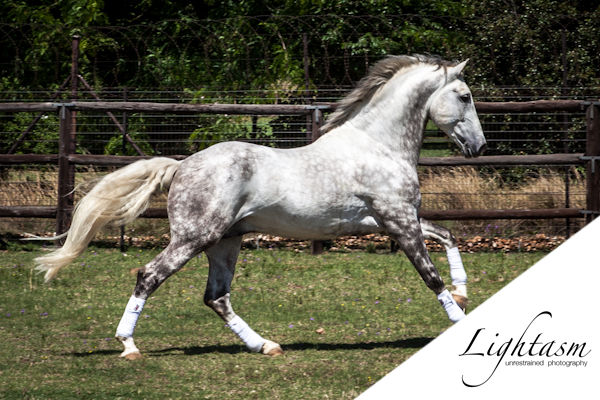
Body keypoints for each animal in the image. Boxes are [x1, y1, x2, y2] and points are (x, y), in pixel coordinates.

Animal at [34, 54, 488, 360]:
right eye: (464, 96)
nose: (479, 147)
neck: (377, 146)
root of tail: (181, 166)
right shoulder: (398, 221)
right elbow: (430, 276)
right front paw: (461, 319)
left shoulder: (394, 221)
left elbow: (449, 236)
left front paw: (464, 292)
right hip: (194, 237)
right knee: (149, 276)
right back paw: (128, 346)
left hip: (225, 242)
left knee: (216, 297)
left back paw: (265, 345)